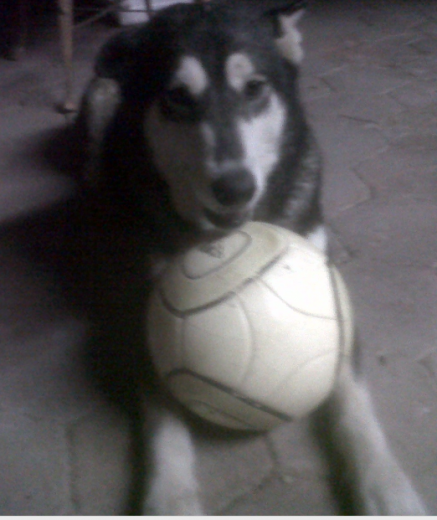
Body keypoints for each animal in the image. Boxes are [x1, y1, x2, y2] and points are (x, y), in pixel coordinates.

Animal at [75, 0, 426, 512]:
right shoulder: (148, 319)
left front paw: (386, 487)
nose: (234, 187)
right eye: (177, 97)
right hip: (102, 102)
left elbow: (355, 403)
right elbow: (164, 423)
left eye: (256, 88)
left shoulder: (333, 299)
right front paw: (170, 498)